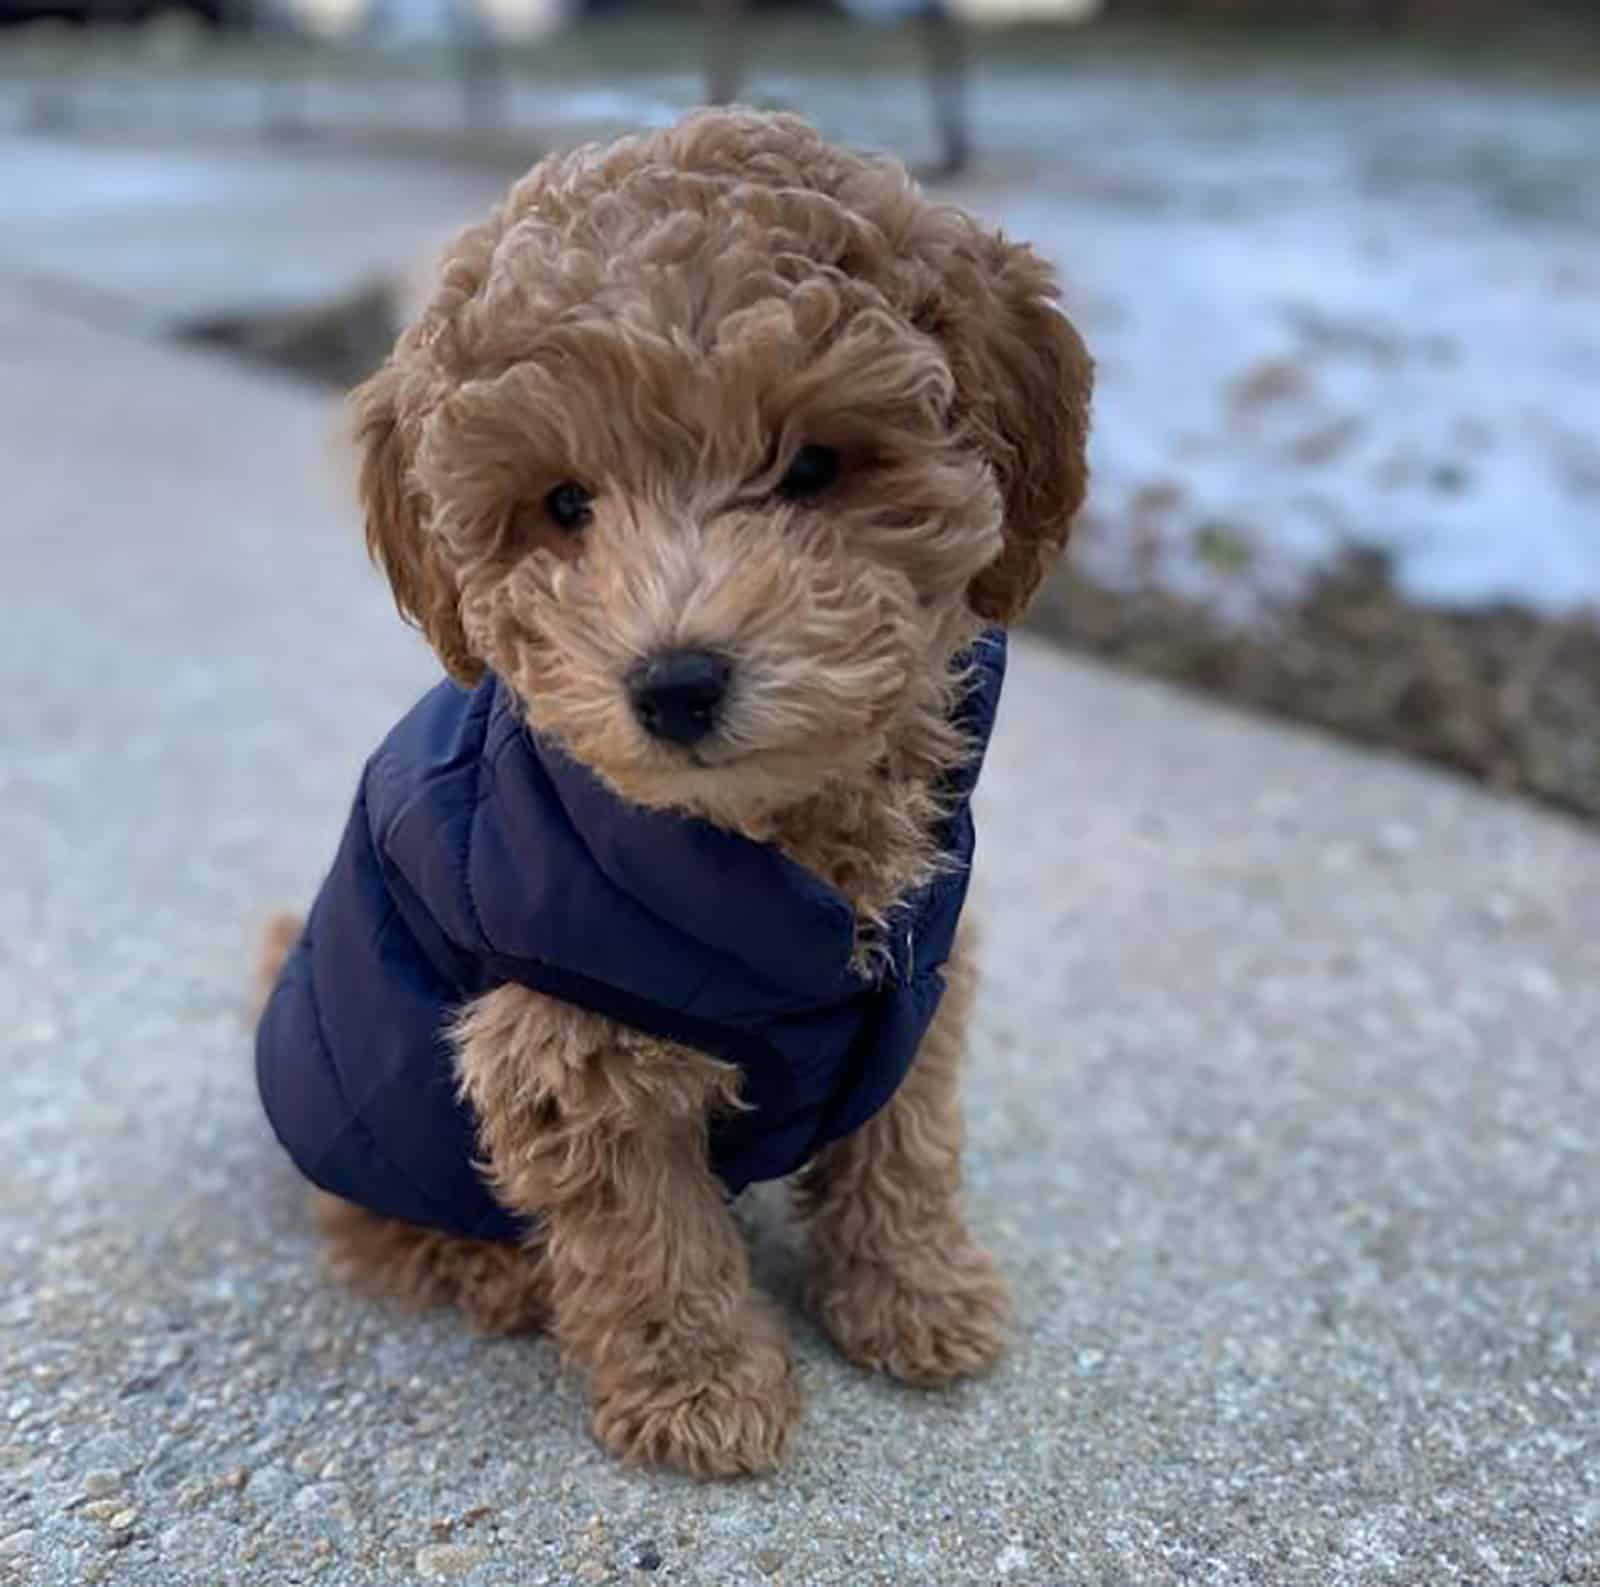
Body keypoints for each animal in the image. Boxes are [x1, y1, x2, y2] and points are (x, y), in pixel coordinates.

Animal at [256, 108, 1094, 1478]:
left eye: (813, 466)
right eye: (563, 503)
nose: (675, 682)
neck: (780, 857)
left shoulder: (920, 987)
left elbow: (903, 1147)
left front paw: (915, 1297)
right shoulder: (563, 1043)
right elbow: (647, 1234)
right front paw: (702, 1389)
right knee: (368, 1220)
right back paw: (489, 1271)